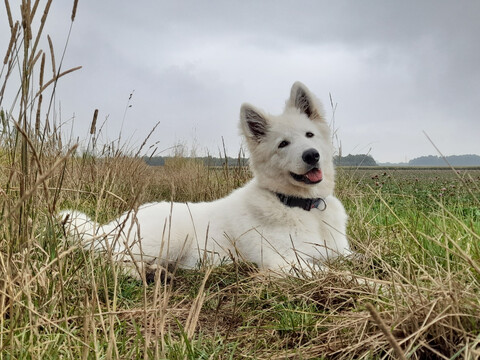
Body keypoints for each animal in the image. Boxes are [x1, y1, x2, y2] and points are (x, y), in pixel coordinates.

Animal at [62, 83, 350, 278]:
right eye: (283, 144)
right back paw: (148, 272)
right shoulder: (284, 261)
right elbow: (342, 275)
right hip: (165, 239)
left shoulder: (341, 253)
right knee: (106, 261)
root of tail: (109, 226)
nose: (311, 156)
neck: (302, 206)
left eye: (309, 134)